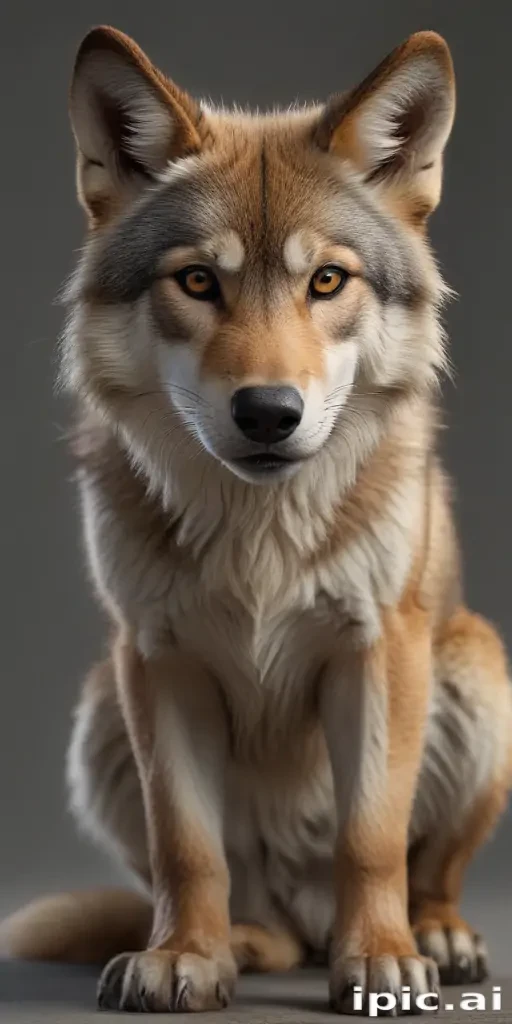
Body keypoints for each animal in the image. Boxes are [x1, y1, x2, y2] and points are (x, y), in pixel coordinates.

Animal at [2, 25, 511, 1016]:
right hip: (101, 708)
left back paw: (434, 936)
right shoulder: (157, 660)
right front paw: (182, 958)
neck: (259, 531)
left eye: (327, 280)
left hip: (479, 667)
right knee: (255, 913)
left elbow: (370, 837)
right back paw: (243, 942)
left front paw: (380, 958)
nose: (269, 412)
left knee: (429, 874)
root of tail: (305, 918)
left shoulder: (377, 651)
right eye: (199, 281)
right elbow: (186, 847)